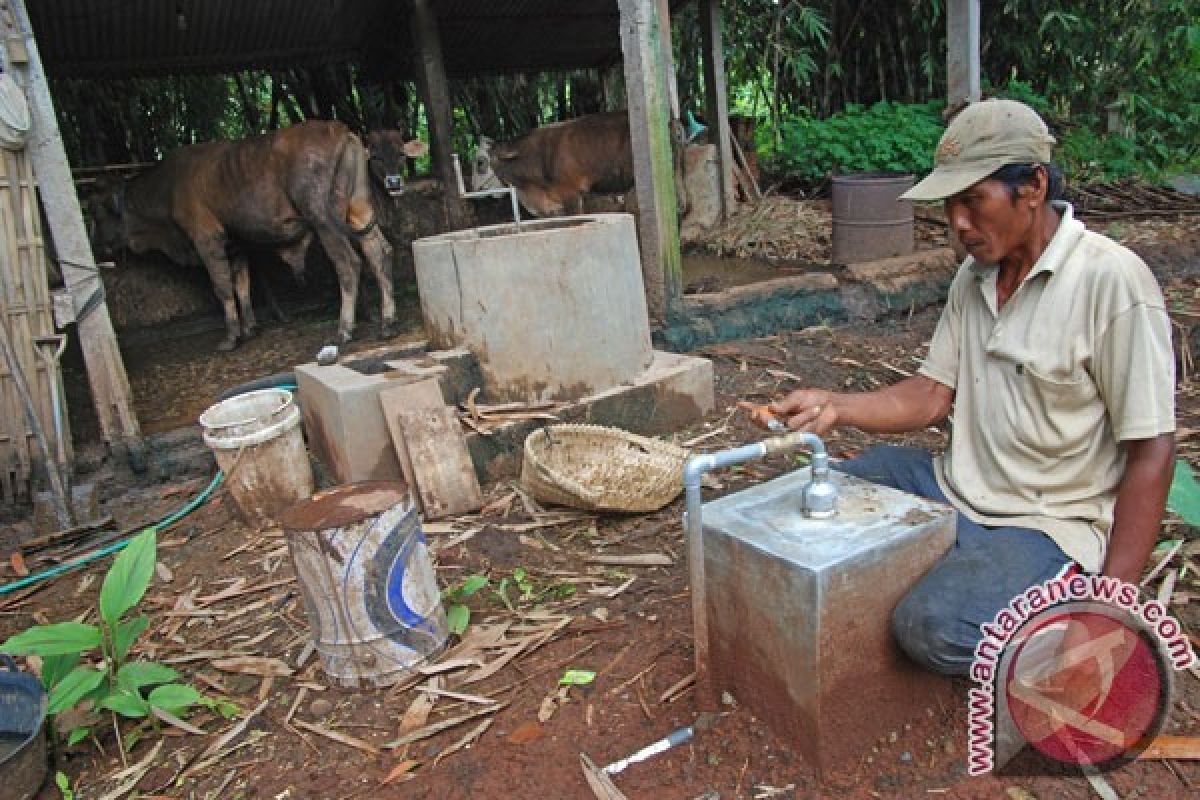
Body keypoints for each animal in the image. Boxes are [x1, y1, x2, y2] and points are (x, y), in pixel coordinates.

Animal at [88, 121, 405, 350]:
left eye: (96, 212)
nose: (97, 246)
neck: (167, 189)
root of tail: (338, 129)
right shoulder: (236, 245)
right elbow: (241, 285)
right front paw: (250, 328)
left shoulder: (206, 238)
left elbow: (222, 287)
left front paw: (230, 338)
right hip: (358, 211)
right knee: (379, 253)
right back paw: (387, 322)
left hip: (323, 220)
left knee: (348, 264)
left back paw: (344, 330)